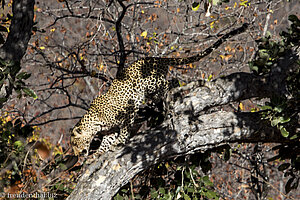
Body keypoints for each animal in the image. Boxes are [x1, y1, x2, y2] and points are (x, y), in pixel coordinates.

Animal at [70, 22, 248, 159]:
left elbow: (124, 131)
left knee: (170, 83)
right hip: (152, 91)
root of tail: (158, 59)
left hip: (152, 83)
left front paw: (118, 143)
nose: (78, 155)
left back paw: (172, 96)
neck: (95, 123)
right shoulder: (110, 130)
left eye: (76, 144)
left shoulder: (127, 112)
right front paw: (98, 153)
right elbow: (106, 141)